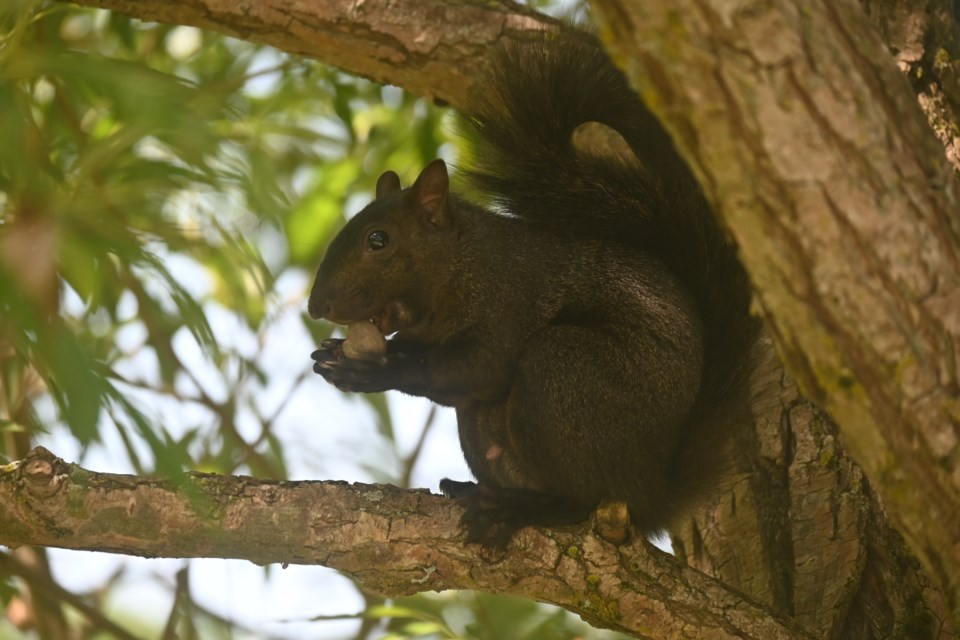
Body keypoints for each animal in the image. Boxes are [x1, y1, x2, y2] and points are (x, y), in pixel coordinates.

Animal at [308, 31, 756, 552]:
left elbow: (474, 368)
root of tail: (654, 493)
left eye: (378, 240)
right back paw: (481, 491)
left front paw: (374, 370)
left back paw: (519, 508)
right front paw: (337, 352)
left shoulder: (510, 299)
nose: (317, 306)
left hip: (565, 371)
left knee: (579, 499)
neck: (459, 267)